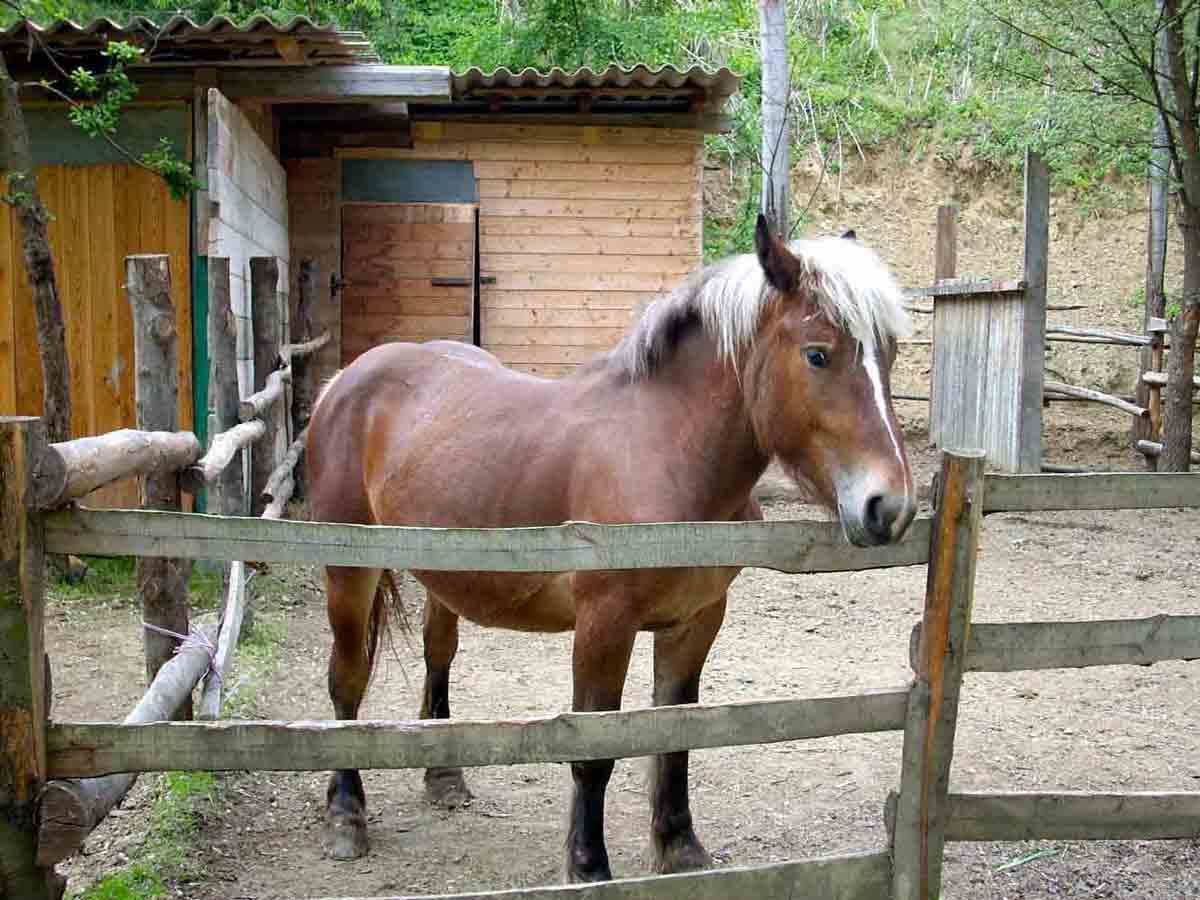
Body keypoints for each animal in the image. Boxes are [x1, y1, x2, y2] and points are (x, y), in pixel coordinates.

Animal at [305, 215, 916, 881]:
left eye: (889, 354)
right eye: (817, 354)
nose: (890, 506)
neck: (662, 449)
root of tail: (345, 381)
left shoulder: (695, 622)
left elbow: (674, 735)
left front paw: (679, 847)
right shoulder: (604, 624)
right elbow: (595, 751)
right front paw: (588, 865)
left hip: (443, 569)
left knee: (438, 652)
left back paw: (443, 776)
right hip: (349, 572)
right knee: (346, 680)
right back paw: (345, 812)